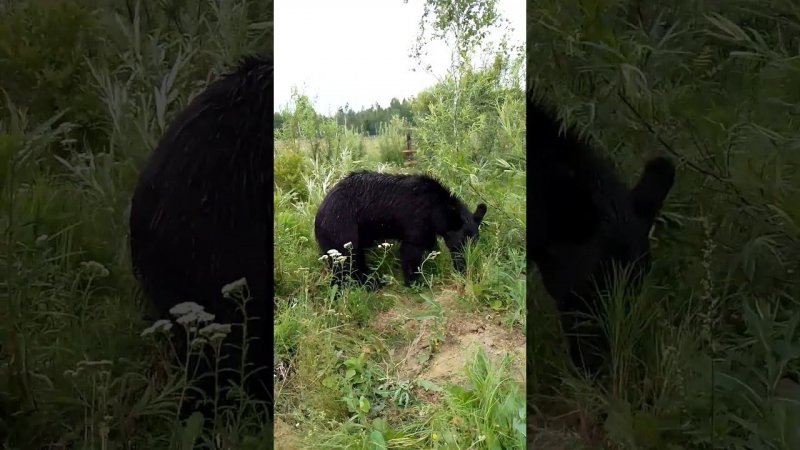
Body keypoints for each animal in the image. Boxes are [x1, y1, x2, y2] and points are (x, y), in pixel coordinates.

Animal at [314, 171, 488, 286]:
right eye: (458, 246)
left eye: (475, 244)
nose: (464, 270)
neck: (437, 209)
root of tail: (320, 211)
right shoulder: (417, 221)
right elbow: (411, 250)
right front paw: (415, 281)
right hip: (341, 227)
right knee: (347, 261)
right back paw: (368, 283)